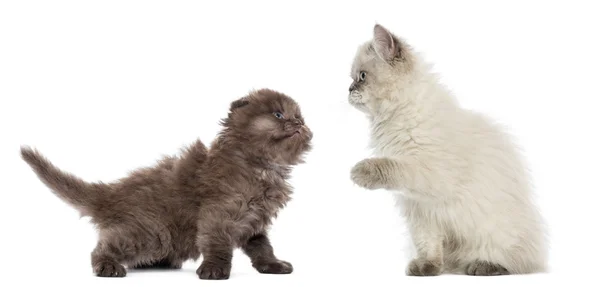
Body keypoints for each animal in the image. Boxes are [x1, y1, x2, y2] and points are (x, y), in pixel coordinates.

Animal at [21, 89, 312, 280]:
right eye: (278, 114)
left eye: (300, 117)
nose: (298, 123)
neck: (260, 166)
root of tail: (112, 194)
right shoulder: (218, 213)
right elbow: (217, 243)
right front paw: (214, 270)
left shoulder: (254, 221)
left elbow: (262, 247)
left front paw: (273, 265)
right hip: (151, 232)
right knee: (106, 244)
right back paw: (107, 266)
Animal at [346, 24, 548, 276]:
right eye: (352, 78)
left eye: (362, 77)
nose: (348, 89)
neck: (395, 116)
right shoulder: (419, 210)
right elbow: (427, 245)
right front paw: (426, 269)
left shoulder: (428, 175)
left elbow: (392, 167)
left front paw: (360, 172)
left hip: (495, 233)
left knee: (514, 262)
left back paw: (482, 266)